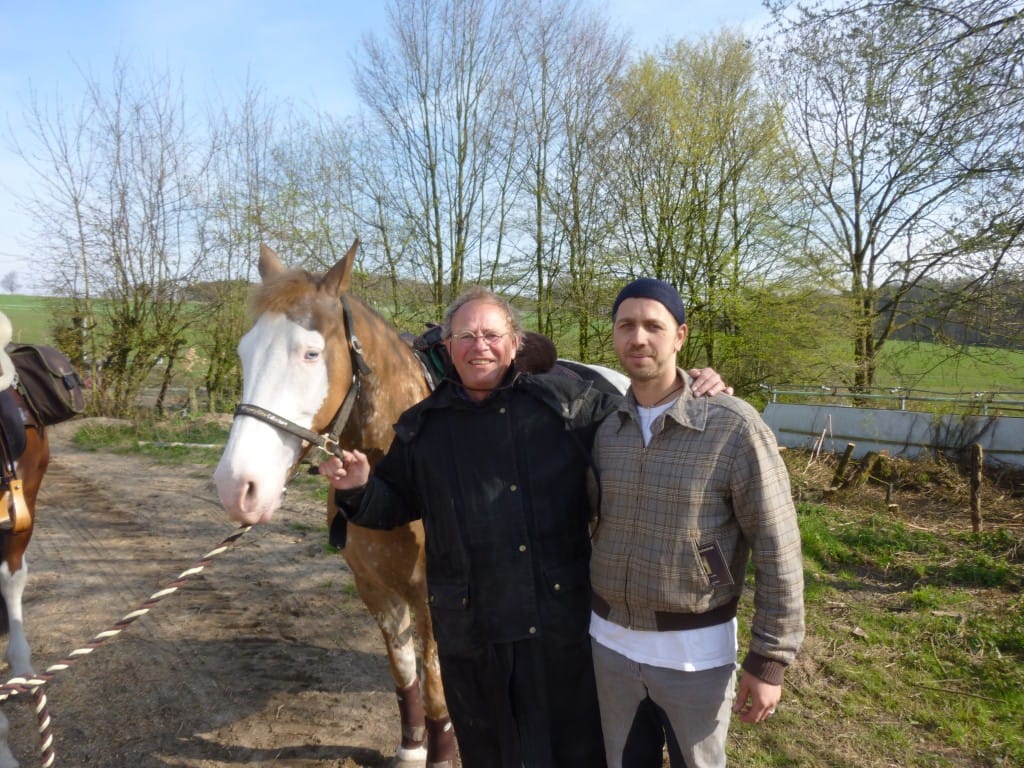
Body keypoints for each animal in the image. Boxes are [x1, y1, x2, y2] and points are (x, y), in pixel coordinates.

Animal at [212, 243, 452, 768]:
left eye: (311, 353)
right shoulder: (375, 589)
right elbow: (406, 673)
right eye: (243, 353)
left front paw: (443, 752)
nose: (237, 486)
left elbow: (437, 684)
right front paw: (412, 746)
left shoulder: (433, 598)